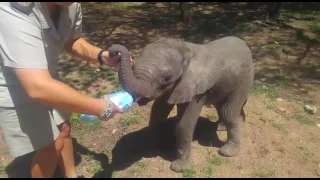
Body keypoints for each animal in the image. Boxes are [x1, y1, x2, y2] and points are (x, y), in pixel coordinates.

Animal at [109, 36, 254, 173]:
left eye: (166, 77)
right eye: (133, 66)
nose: (114, 52)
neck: (185, 50)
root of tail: (244, 44)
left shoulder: (197, 89)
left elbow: (184, 124)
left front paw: (180, 168)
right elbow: (158, 111)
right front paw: (154, 146)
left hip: (245, 79)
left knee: (228, 112)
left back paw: (227, 151)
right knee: (220, 105)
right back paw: (222, 127)